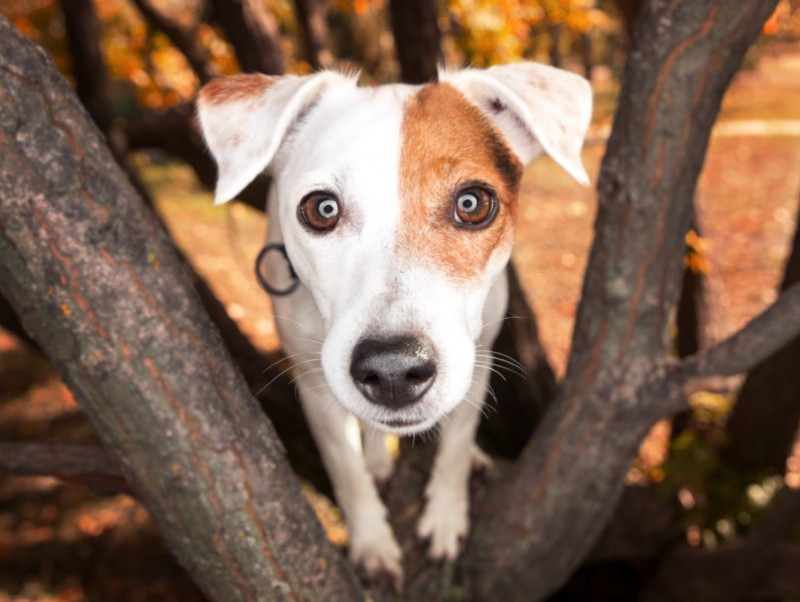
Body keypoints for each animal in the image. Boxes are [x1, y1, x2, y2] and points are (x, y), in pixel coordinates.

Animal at [197, 64, 592, 584]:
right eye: (322, 209)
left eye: (472, 203)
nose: (393, 370)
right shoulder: (313, 383)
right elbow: (345, 468)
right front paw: (371, 541)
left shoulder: (479, 358)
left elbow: (455, 444)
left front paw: (445, 516)